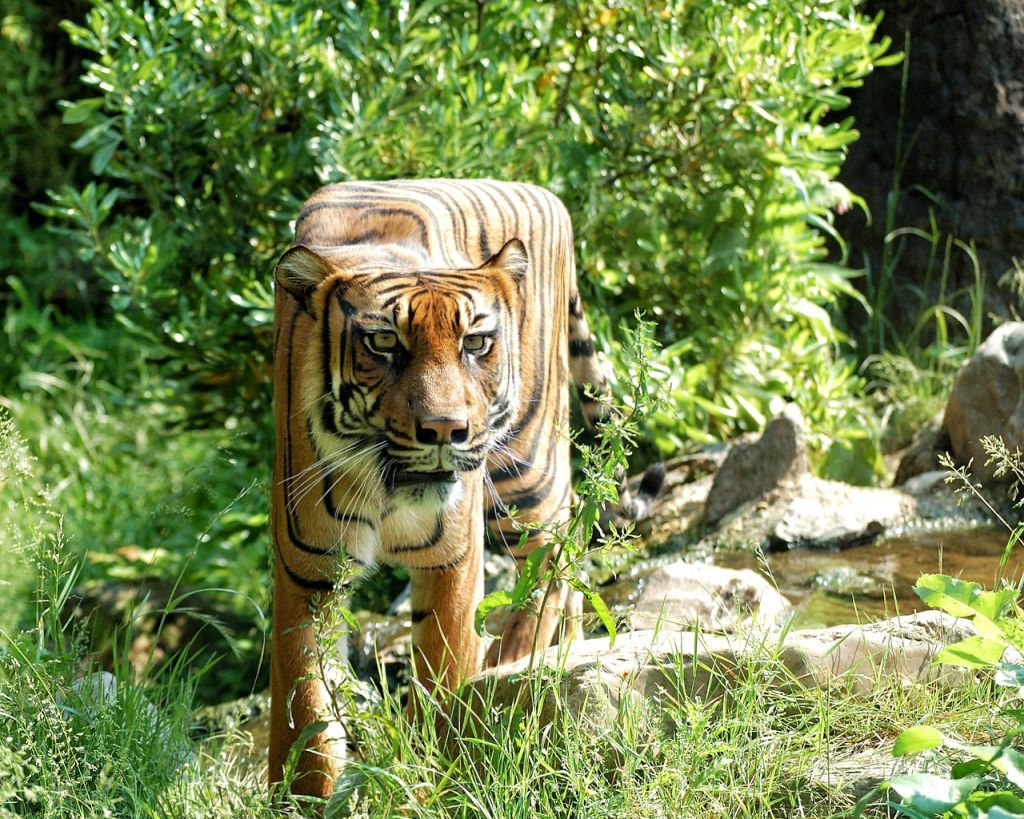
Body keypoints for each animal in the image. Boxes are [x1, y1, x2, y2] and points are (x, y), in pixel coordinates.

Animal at [269, 179, 660, 797]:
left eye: (475, 343)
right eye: (383, 342)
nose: (444, 429)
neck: (386, 489)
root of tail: (548, 195)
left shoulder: (452, 559)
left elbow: (441, 672)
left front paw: (428, 776)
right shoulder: (306, 573)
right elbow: (303, 706)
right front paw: (302, 796)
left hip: (525, 469)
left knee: (555, 553)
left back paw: (513, 664)